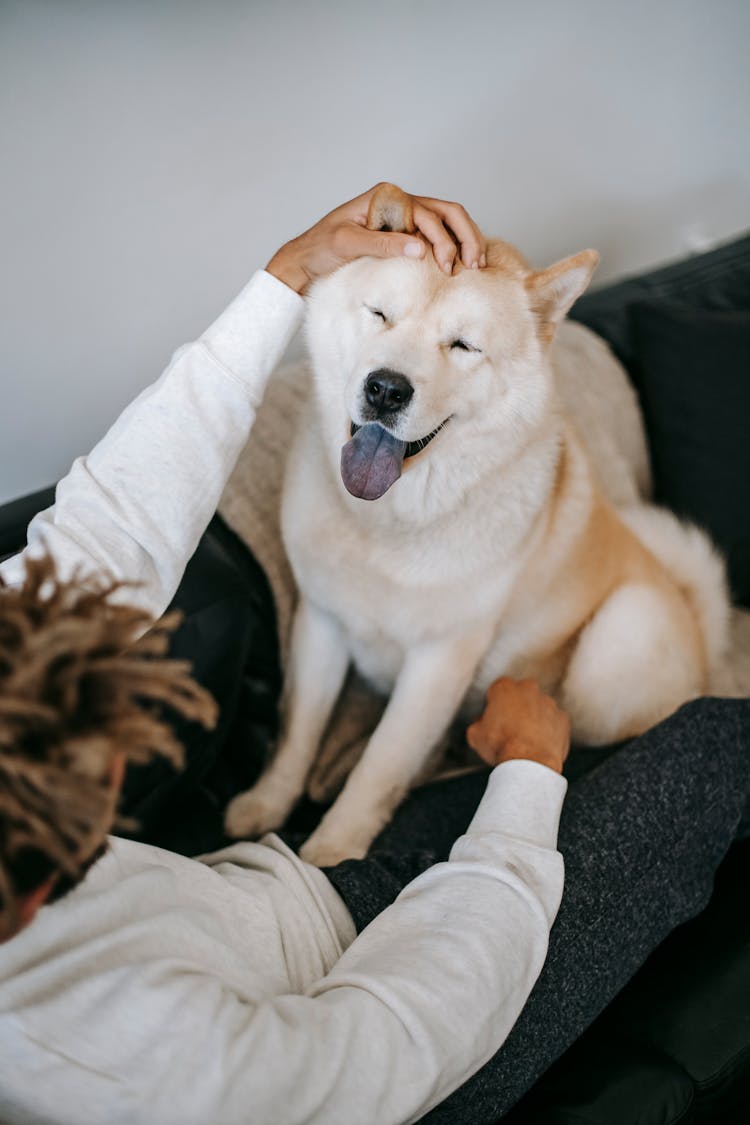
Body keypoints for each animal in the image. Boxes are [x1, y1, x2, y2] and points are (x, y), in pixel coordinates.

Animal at [226, 186, 728, 868]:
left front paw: (331, 852)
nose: (385, 389)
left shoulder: (439, 660)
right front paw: (267, 805)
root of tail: (703, 631)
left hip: (613, 647)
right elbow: (297, 730)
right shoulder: (321, 621)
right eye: (380, 314)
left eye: (462, 346)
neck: (391, 522)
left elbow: (381, 764)